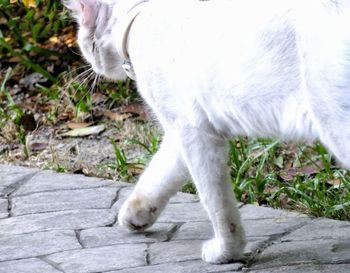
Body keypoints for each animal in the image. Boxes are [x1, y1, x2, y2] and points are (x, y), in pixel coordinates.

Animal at [64, 0, 350, 264]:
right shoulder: (179, 135)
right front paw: (135, 215)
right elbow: (156, 177)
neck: (140, 16)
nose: (91, 66)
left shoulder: (195, 134)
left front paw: (227, 251)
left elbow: (216, 203)